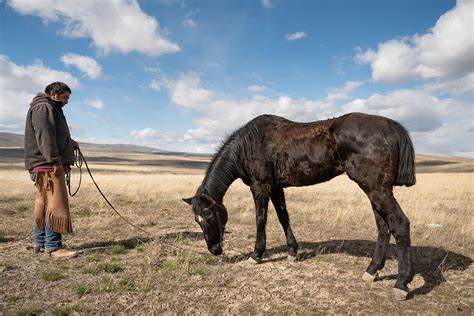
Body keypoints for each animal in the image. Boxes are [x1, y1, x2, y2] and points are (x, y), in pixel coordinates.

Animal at [183, 112, 416, 300]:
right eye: (197, 220)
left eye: (209, 217)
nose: (214, 250)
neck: (247, 145)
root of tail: (392, 125)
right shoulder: (276, 188)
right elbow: (283, 217)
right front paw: (292, 251)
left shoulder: (261, 187)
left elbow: (261, 219)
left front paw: (256, 255)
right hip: (375, 190)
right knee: (383, 226)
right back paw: (372, 270)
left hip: (377, 189)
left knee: (399, 223)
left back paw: (401, 283)